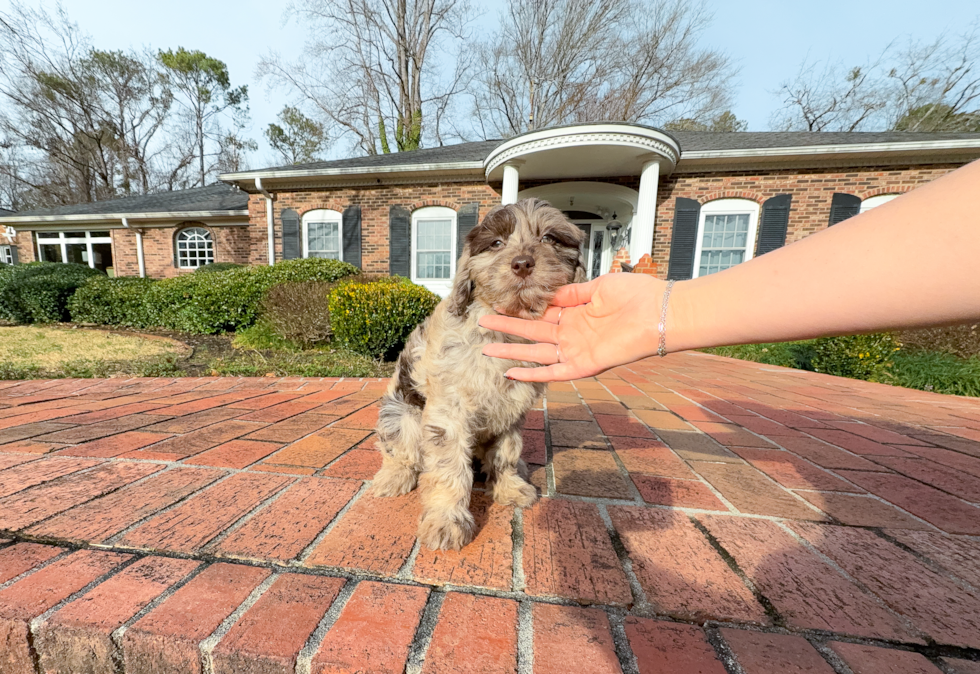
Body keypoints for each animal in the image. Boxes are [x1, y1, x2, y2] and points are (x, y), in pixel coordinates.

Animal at [372, 197, 584, 548]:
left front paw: (510, 487)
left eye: (549, 239)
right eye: (496, 243)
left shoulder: (513, 408)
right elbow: (448, 467)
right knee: (400, 452)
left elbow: (506, 452)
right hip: (401, 415)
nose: (522, 263)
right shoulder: (449, 412)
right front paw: (446, 520)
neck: (505, 332)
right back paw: (393, 477)